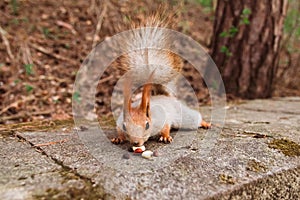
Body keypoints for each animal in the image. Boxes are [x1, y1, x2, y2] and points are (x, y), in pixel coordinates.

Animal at [110, 16, 211, 147]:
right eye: (124, 126)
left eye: (147, 125)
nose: (136, 143)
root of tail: (164, 95)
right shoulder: (119, 122)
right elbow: (119, 130)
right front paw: (119, 138)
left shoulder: (163, 118)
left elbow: (166, 127)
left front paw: (165, 136)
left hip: (183, 116)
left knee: (194, 119)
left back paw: (205, 123)